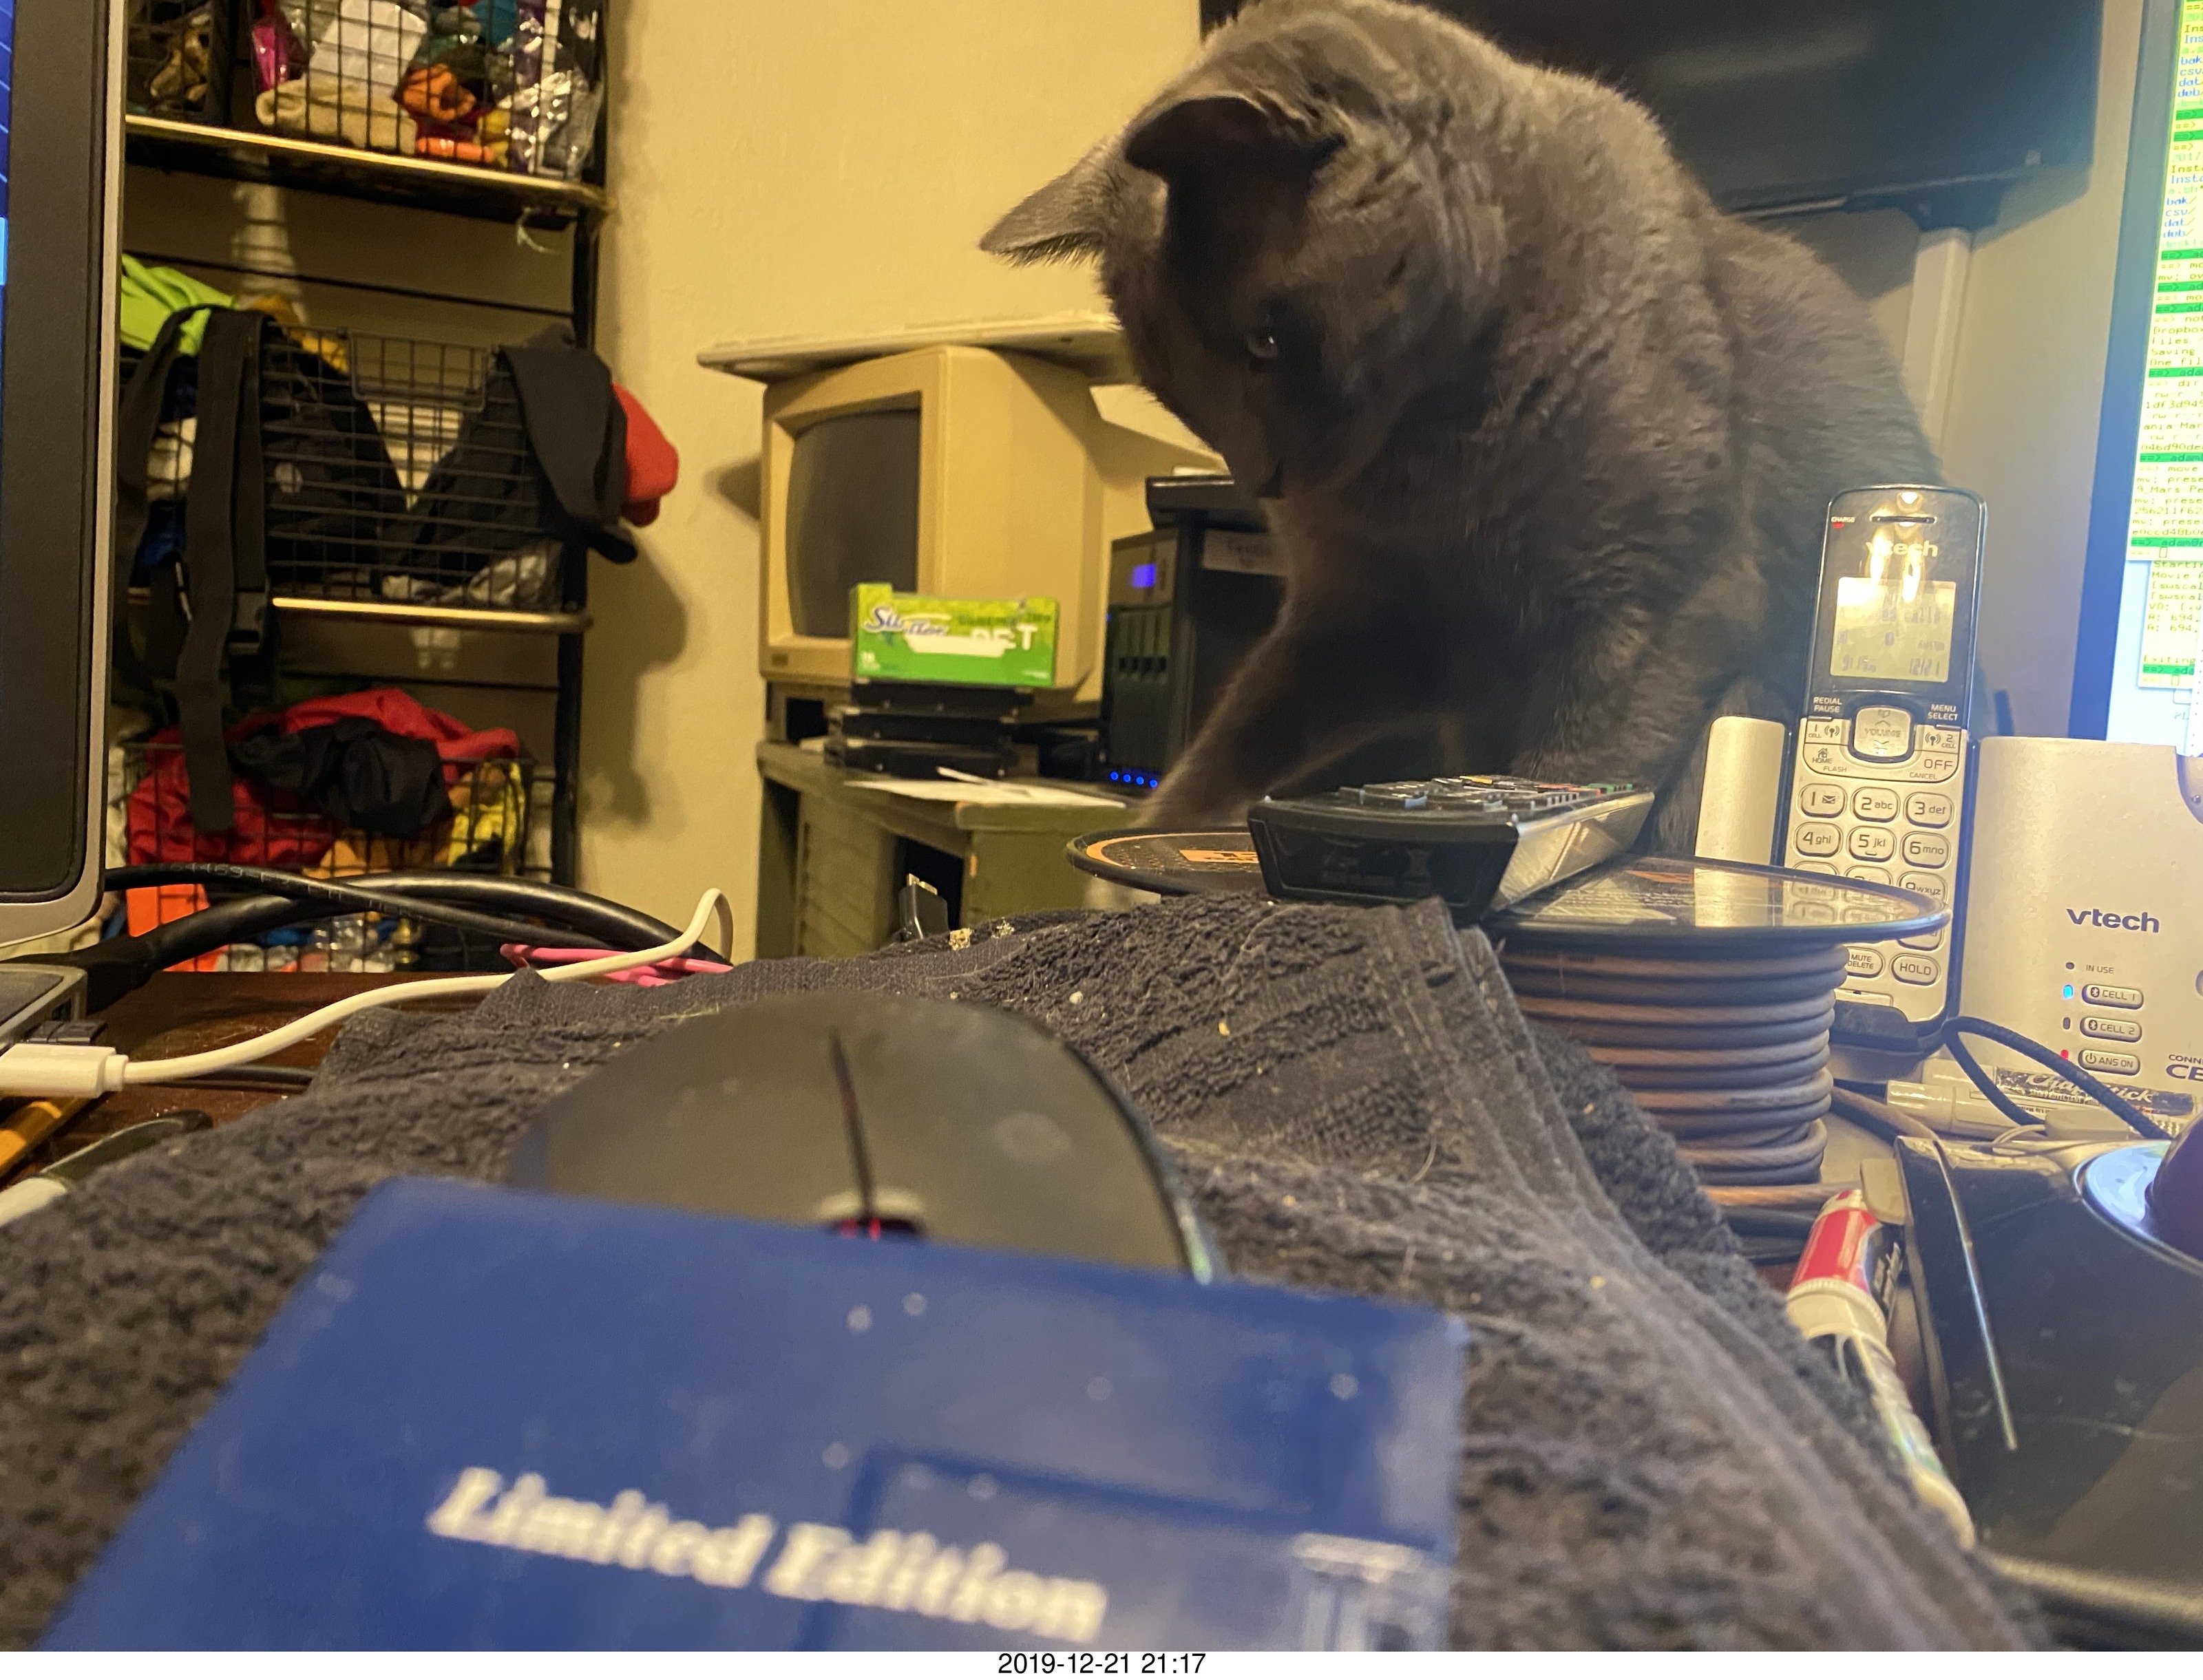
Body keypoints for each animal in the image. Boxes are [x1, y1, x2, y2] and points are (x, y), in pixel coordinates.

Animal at [982, 0, 1937, 847]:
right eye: (1170, 390)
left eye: (1264, 341)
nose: (1261, 480)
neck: (1430, 478)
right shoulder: (1363, 621)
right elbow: (1233, 736)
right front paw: (1132, 852)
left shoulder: (1658, 609)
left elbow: (1579, 766)